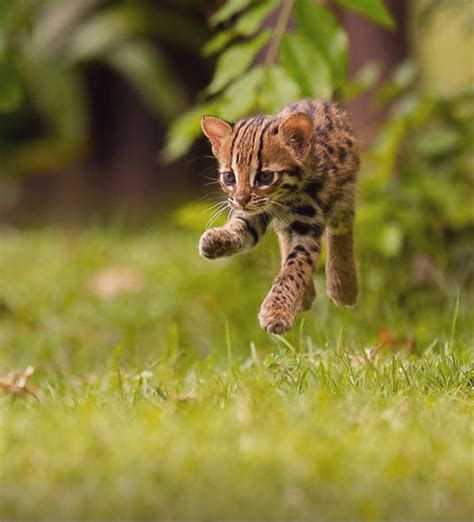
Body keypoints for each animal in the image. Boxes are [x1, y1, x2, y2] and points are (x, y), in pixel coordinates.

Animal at [198, 98, 358, 334]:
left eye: (265, 177)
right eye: (229, 178)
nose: (241, 200)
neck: (281, 202)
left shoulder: (308, 226)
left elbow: (293, 269)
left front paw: (276, 311)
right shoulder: (254, 214)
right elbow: (240, 227)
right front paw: (216, 240)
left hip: (345, 194)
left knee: (341, 228)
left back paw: (343, 286)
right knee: (284, 236)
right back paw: (305, 296)